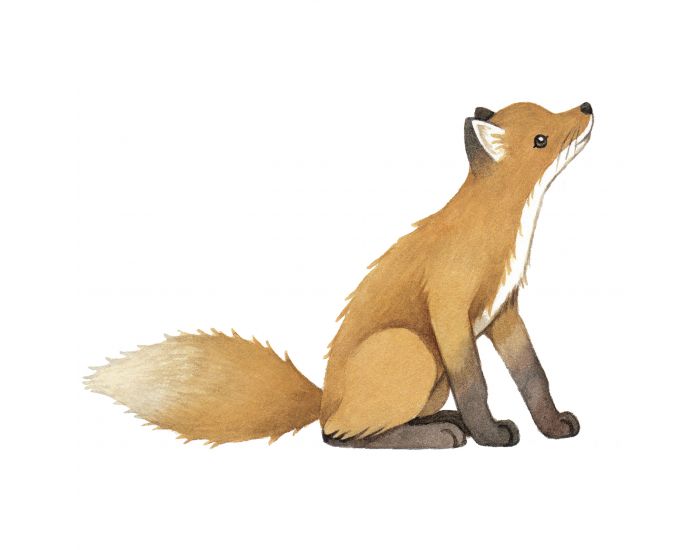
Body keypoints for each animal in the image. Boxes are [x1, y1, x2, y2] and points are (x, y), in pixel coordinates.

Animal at [86, 101, 594, 449]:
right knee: (337, 436)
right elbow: (476, 384)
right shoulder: (450, 312)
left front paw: (553, 427)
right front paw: (490, 435)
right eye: (542, 138)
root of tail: (324, 398)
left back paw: (442, 424)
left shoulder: (504, 311)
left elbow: (533, 377)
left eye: (552, 112)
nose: (587, 106)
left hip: (429, 376)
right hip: (413, 349)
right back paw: (441, 435)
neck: (498, 230)